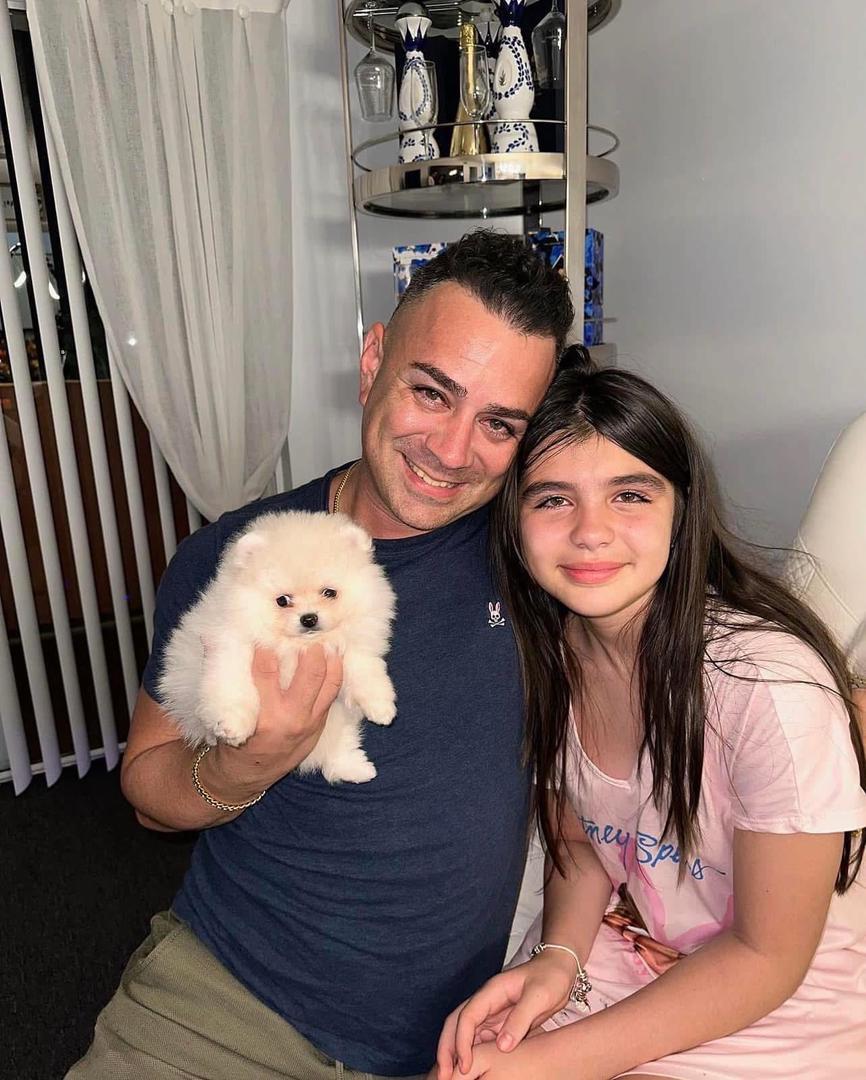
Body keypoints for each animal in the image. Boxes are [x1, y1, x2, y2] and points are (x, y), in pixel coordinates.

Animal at [157, 511, 397, 783]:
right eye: (282, 600)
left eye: (329, 593)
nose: (309, 618)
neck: (297, 647)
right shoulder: (229, 645)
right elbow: (234, 685)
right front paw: (233, 723)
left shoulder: (355, 646)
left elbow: (365, 670)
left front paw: (381, 706)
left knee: (341, 743)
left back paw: (354, 768)